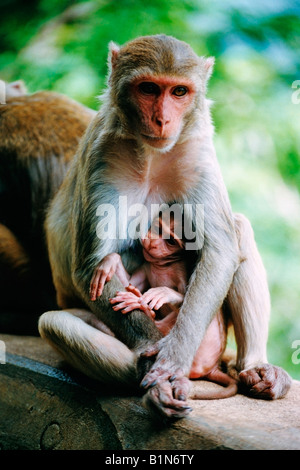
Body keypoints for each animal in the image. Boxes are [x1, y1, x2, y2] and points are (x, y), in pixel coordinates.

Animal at [91, 214, 237, 400]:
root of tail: (212, 367)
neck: (163, 265)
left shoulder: (181, 269)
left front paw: (163, 294)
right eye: (157, 228)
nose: (152, 242)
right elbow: (131, 282)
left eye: (171, 241)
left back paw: (144, 308)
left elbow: (189, 297)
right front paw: (109, 261)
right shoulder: (147, 265)